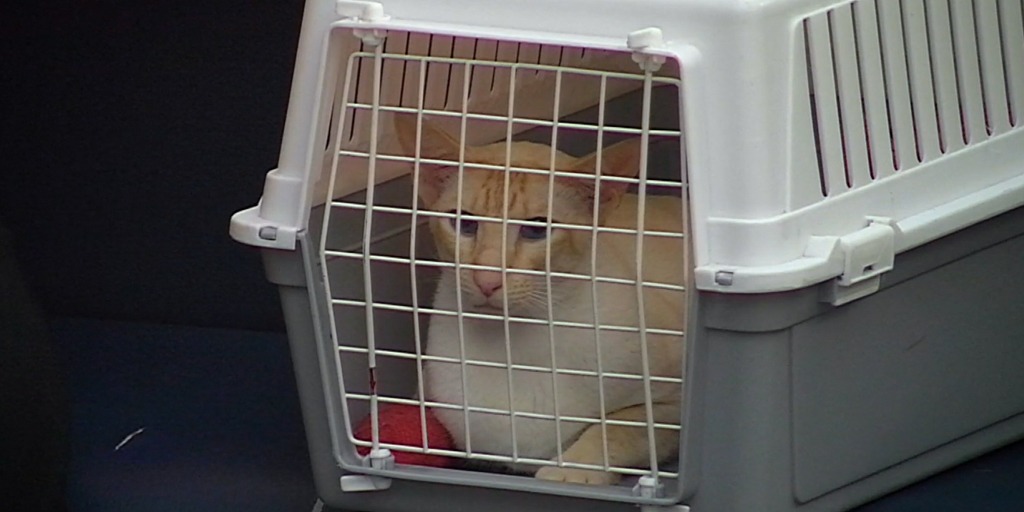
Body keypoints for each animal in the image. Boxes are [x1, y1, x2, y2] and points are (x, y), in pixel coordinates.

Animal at [391, 114, 688, 485]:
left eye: (536, 231)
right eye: (464, 224)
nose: (487, 280)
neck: (512, 346)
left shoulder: (673, 405)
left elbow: (617, 429)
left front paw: (570, 472)